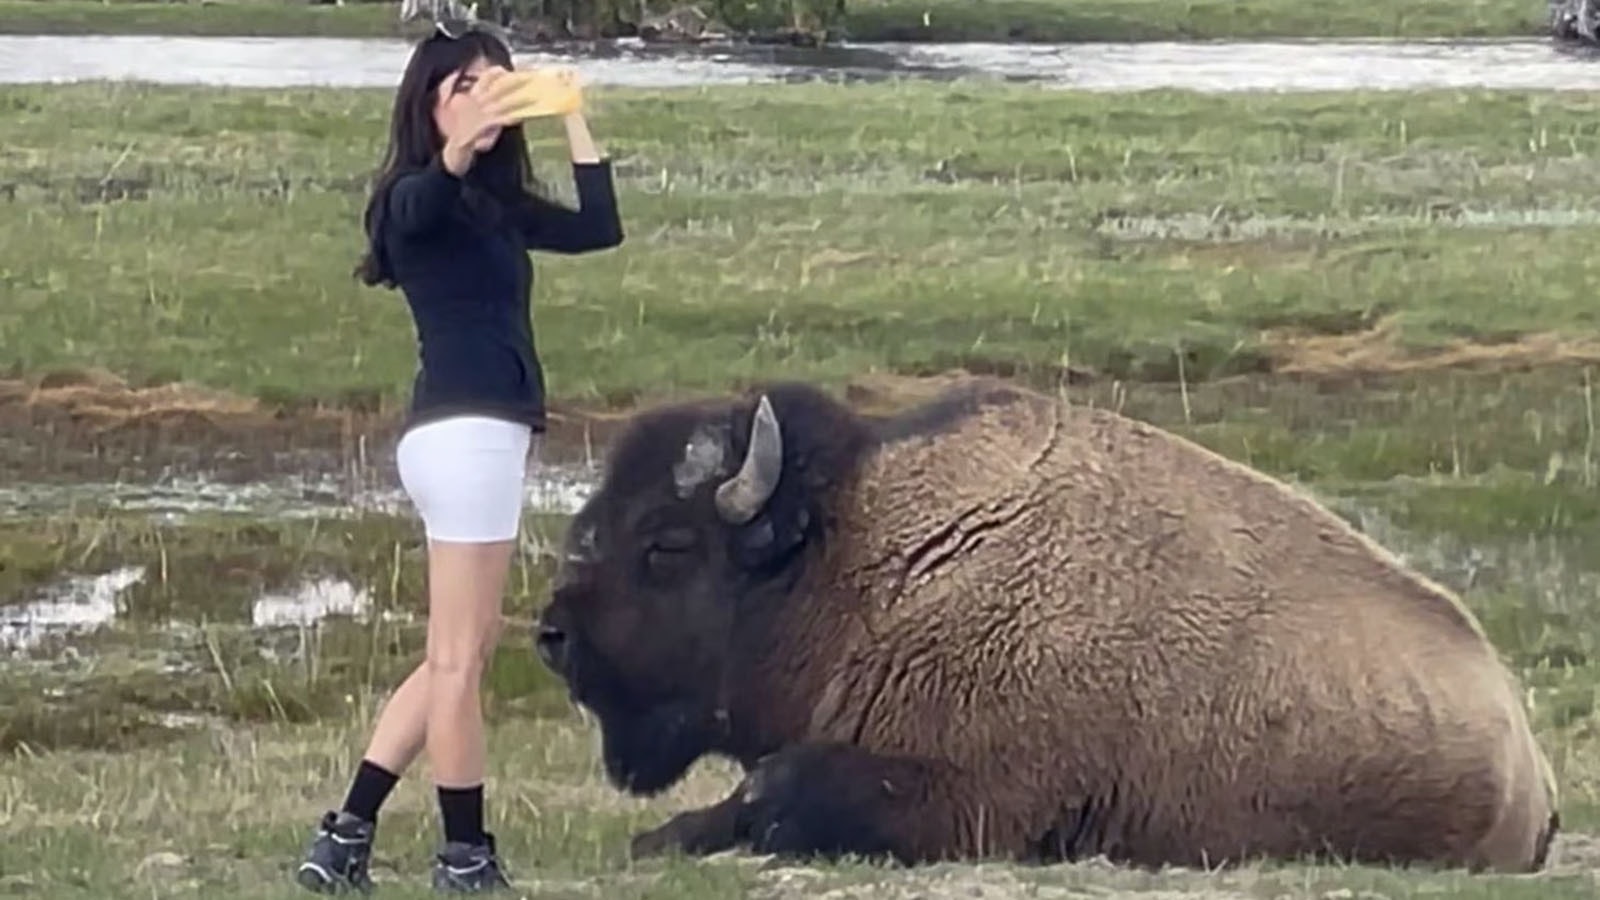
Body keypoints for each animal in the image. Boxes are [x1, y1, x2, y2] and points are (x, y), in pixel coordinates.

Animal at [534, 376, 1560, 873]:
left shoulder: (970, 795)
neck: (869, 559)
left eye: (666, 544)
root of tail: (1526, 752)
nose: (553, 636)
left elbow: (776, 789)